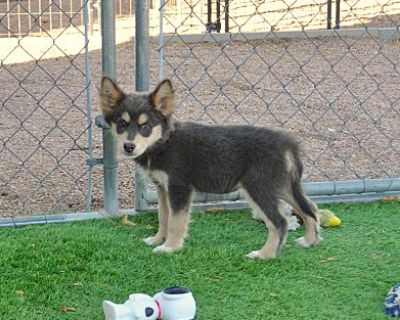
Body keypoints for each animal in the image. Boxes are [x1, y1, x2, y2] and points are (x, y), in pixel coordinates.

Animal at [100, 77, 322, 260]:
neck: (165, 141)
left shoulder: (179, 188)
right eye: (122, 124)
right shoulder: (162, 188)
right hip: (281, 186)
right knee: (310, 208)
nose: (128, 147)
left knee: (279, 222)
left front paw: (170, 247)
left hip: (259, 188)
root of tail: (287, 144)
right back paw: (309, 241)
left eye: (145, 126)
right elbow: (164, 217)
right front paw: (157, 240)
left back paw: (264, 255)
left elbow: (176, 222)